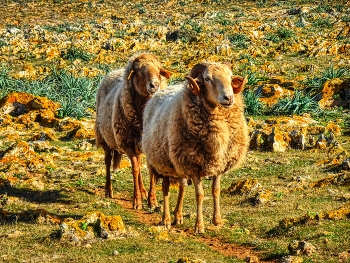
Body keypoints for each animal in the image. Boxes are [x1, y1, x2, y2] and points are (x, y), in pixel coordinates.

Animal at [95, 53, 172, 210]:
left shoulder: (148, 144)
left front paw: (152, 200)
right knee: (108, 161)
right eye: (140, 71)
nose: (154, 85)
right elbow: (135, 169)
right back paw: (108, 190)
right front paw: (137, 201)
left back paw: (143, 190)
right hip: (105, 138)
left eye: (158, 70)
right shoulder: (127, 143)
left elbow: (150, 170)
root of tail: (114, 71)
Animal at [142, 63, 249, 234]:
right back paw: (166, 219)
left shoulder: (219, 164)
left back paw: (178, 216)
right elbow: (200, 194)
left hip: (178, 165)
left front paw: (217, 220)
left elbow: (216, 190)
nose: (228, 98)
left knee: (182, 186)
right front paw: (199, 226)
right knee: (165, 188)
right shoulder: (193, 166)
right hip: (164, 161)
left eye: (230, 77)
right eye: (207, 78)